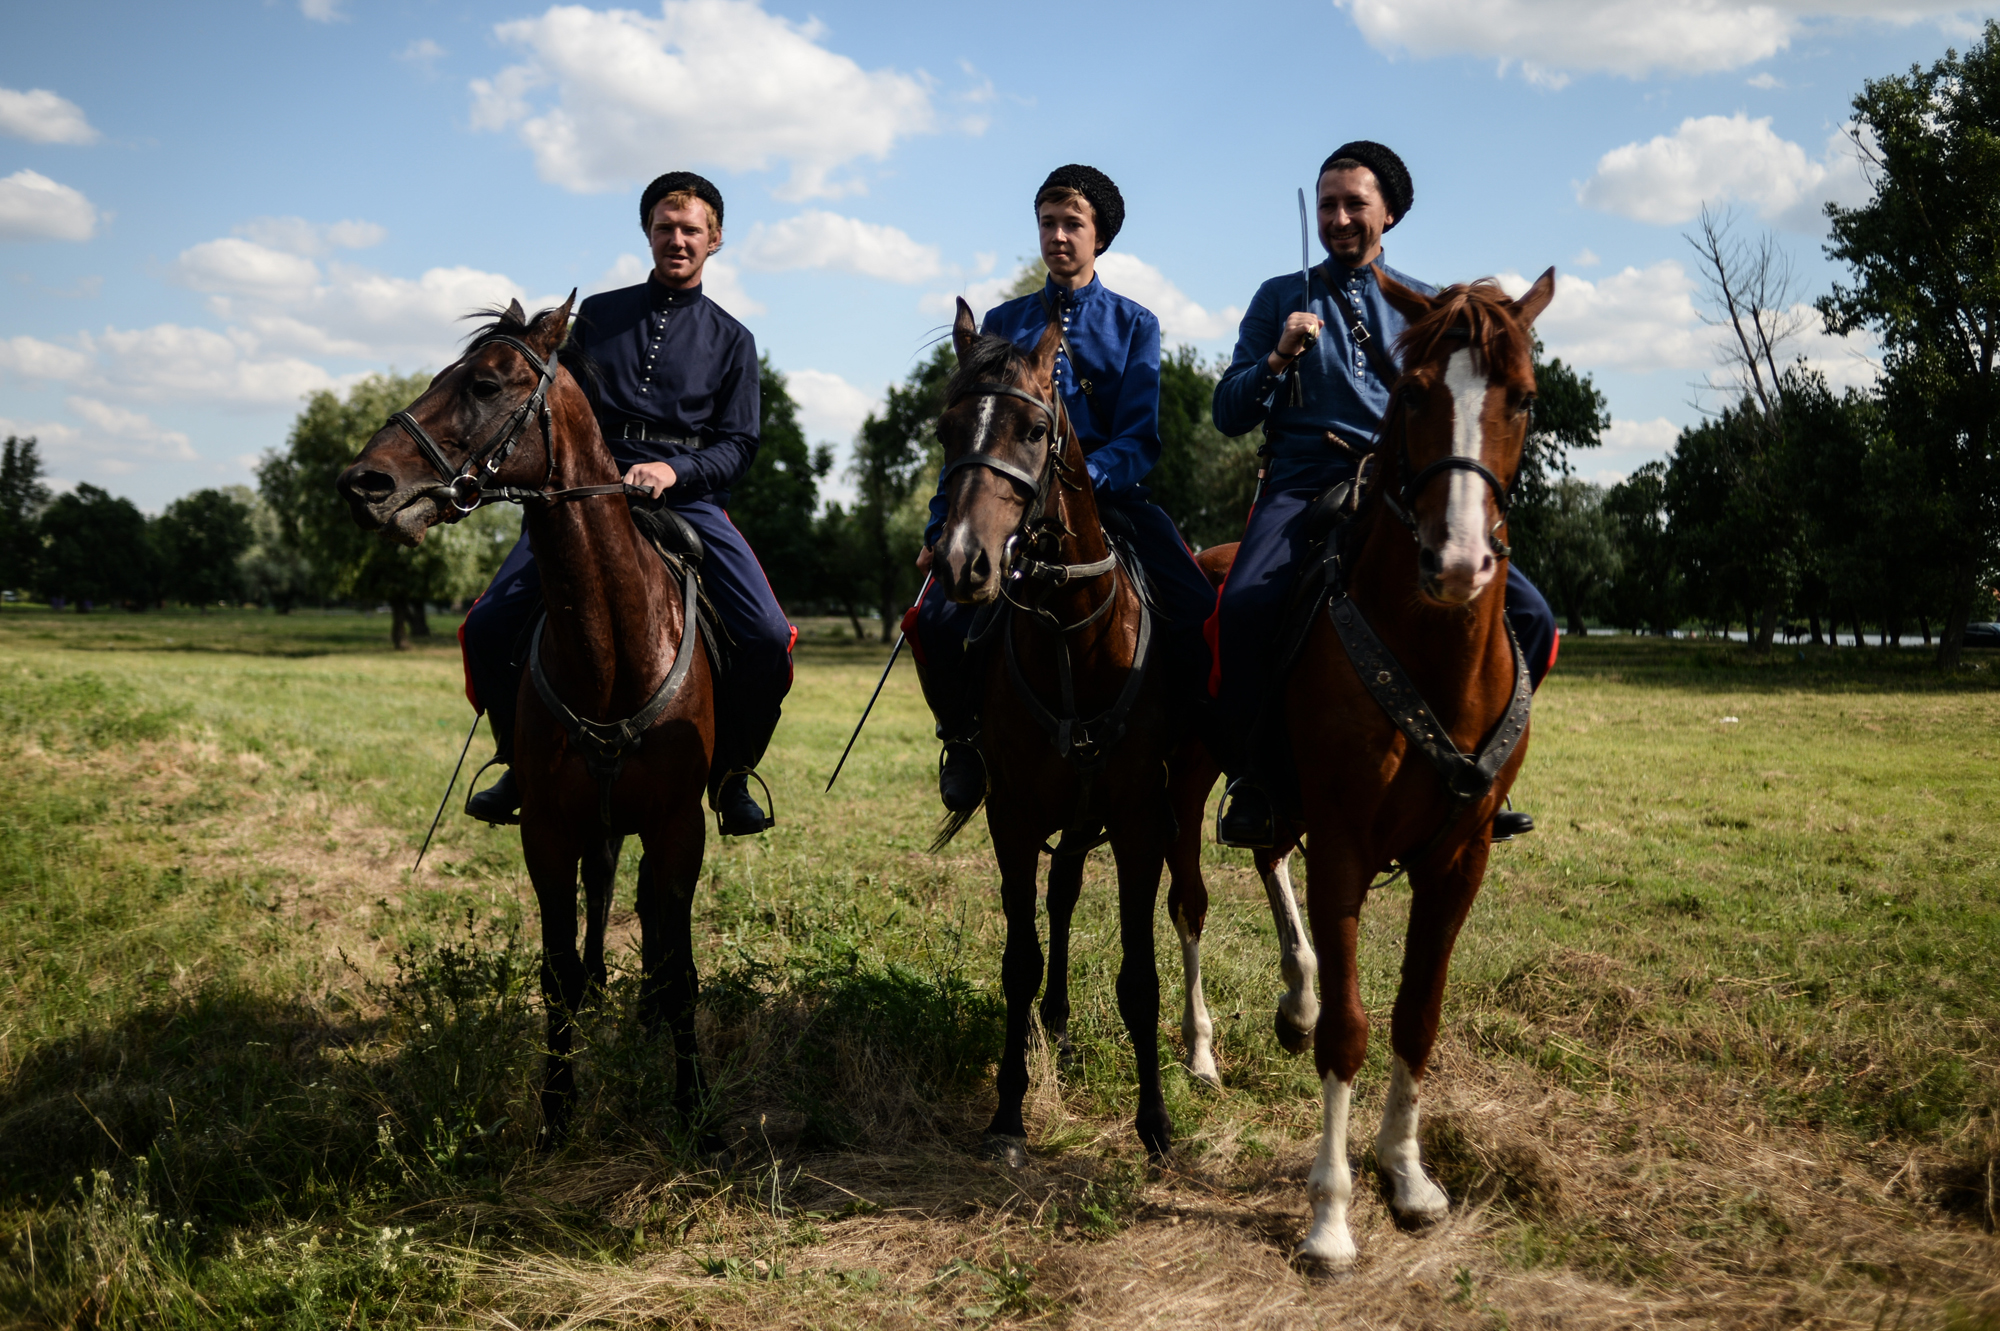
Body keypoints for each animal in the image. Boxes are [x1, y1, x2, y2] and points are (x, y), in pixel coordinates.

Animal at [932, 295, 1216, 1159]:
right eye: (946, 432)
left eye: (1033, 430)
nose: (962, 562)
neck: (1070, 636)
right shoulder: (1014, 815)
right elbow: (1019, 959)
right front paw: (1007, 1113)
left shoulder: (1139, 820)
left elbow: (1140, 974)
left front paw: (1155, 1121)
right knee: (1057, 900)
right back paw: (1050, 1022)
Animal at [1264, 269, 1560, 1263]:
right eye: (1416, 390)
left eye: (1524, 397)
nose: (1459, 559)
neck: (1431, 650)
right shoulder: (1343, 846)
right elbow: (1351, 1030)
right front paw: (1329, 1214)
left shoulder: (1460, 859)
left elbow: (1415, 1018)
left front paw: (1407, 1174)